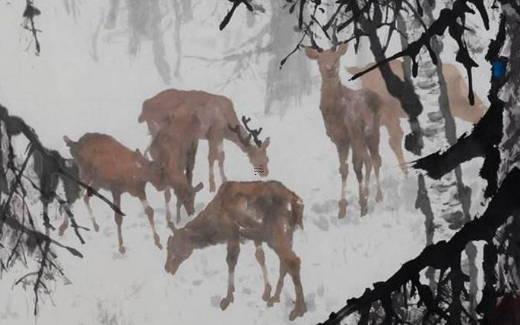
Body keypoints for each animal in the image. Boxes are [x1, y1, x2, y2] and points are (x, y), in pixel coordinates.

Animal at [138, 87, 270, 191]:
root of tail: (144, 107)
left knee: (147, 150)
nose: (266, 173)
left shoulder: (214, 135)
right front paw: (215, 185)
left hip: (154, 130)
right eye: (262, 159)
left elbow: (218, 157)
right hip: (159, 127)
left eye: (268, 158)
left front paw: (220, 181)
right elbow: (214, 157)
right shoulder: (215, 131)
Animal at [165, 181, 306, 320]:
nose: (167, 268)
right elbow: (260, 256)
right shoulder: (255, 237)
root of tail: (296, 202)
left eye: (171, 247)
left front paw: (227, 298)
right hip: (287, 235)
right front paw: (267, 291)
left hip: (276, 233)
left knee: (293, 261)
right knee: (285, 263)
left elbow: (231, 261)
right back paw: (275, 299)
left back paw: (298, 310)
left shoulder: (233, 232)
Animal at [304, 41, 382, 218]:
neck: (336, 114)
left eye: (337, 58)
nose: (330, 68)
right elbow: (344, 169)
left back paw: (376, 196)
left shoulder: (353, 133)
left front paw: (362, 202)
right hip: (362, 137)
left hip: (371, 132)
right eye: (319, 60)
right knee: (368, 161)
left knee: (373, 160)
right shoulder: (339, 139)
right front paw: (342, 208)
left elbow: (358, 165)